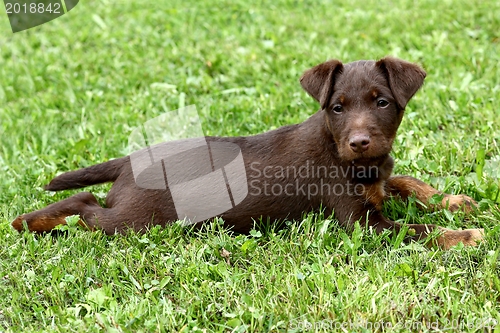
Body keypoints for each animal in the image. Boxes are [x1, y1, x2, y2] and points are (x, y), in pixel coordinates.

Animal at [10, 57, 480, 249]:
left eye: (381, 102)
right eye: (337, 107)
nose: (360, 142)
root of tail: (131, 160)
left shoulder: (377, 178)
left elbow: (405, 180)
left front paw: (454, 201)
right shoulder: (362, 224)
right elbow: (416, 229)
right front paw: (462, 236)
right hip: (137, 220)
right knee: (85, 206)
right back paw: (30, 222)